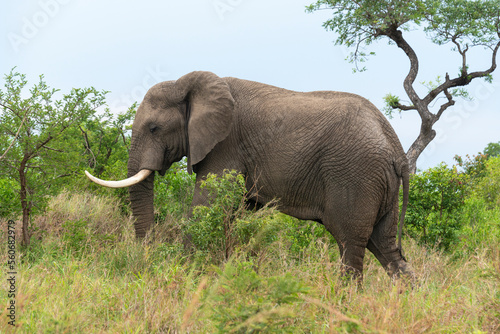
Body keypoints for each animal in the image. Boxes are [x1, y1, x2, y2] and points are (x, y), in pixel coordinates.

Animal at [86, 70, 412, 280]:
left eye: (154, 128)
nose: (148, 256)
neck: (189, 85)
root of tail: (397, 149)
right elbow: (235, 212)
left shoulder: (225, 144)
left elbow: (206, 206)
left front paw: (189, 274)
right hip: (379, 184)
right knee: (386, 248)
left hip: (355, 176)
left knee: (350, 244)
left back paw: (344, 301)